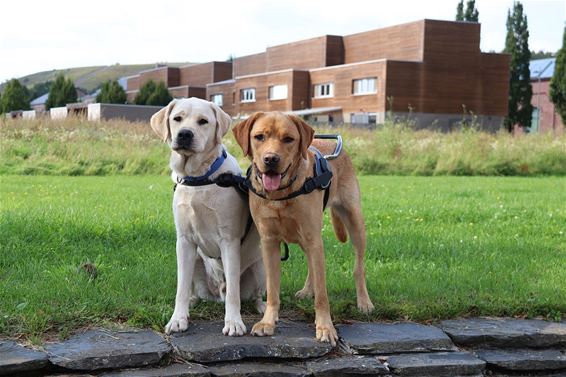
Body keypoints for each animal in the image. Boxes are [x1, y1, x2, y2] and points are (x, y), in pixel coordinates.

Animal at [151, 97, 266, 334]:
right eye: (177, 118)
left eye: (203, 121)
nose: (185, 134)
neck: (198, 177)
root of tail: (216, 293)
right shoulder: (184, 241)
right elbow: (181, 288)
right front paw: (178, 319)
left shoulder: (229, 241)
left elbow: (233, 293)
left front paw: (234, 322)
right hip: (195, 259)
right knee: (193, 289)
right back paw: (193, 302)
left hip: (259, 267)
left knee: (252, 294)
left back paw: (262, 307)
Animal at [233, 112, 374, 346]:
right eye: (259, 137)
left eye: (288, 139)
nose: (271, 159)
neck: (281, 195)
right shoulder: (269, 242)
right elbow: (273, 291)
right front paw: (268, 322)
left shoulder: (313, 238)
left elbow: (323, 296)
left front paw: (325, 327)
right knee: (312, 266)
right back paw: (308, 290)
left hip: (354, 222)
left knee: (358, 267)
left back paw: (364, 301)